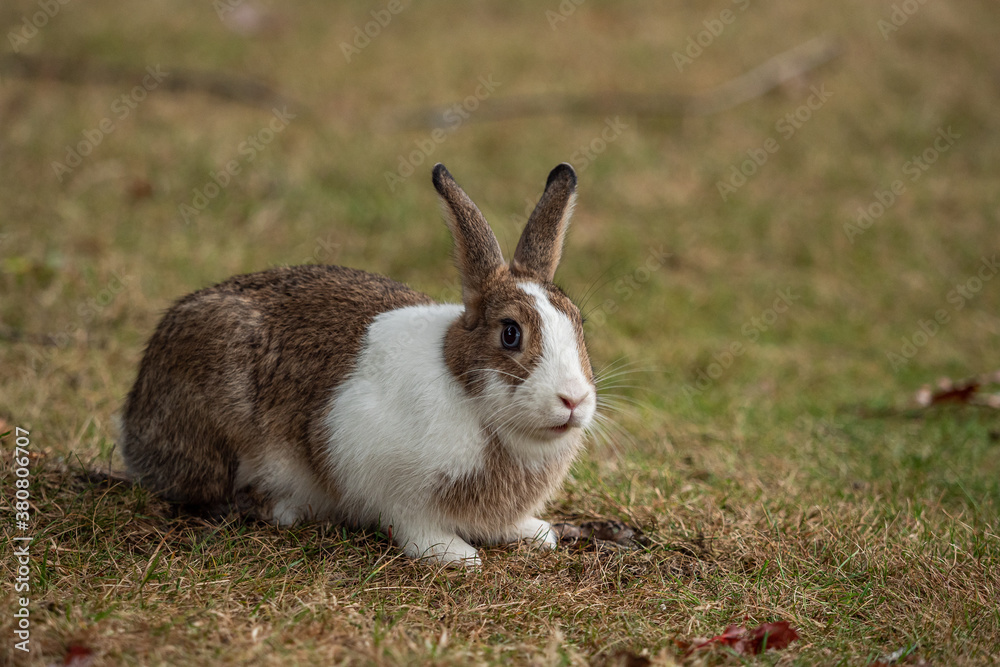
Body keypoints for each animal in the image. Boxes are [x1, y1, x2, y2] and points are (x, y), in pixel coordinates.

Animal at [120, 162, 597, 567]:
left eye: (579, 323)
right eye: (510, 333)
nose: (573, 400)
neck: (472, 395)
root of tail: (133, 421)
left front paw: (538, 533)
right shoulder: (382, 475)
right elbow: (413, 524)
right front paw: (456, 555)